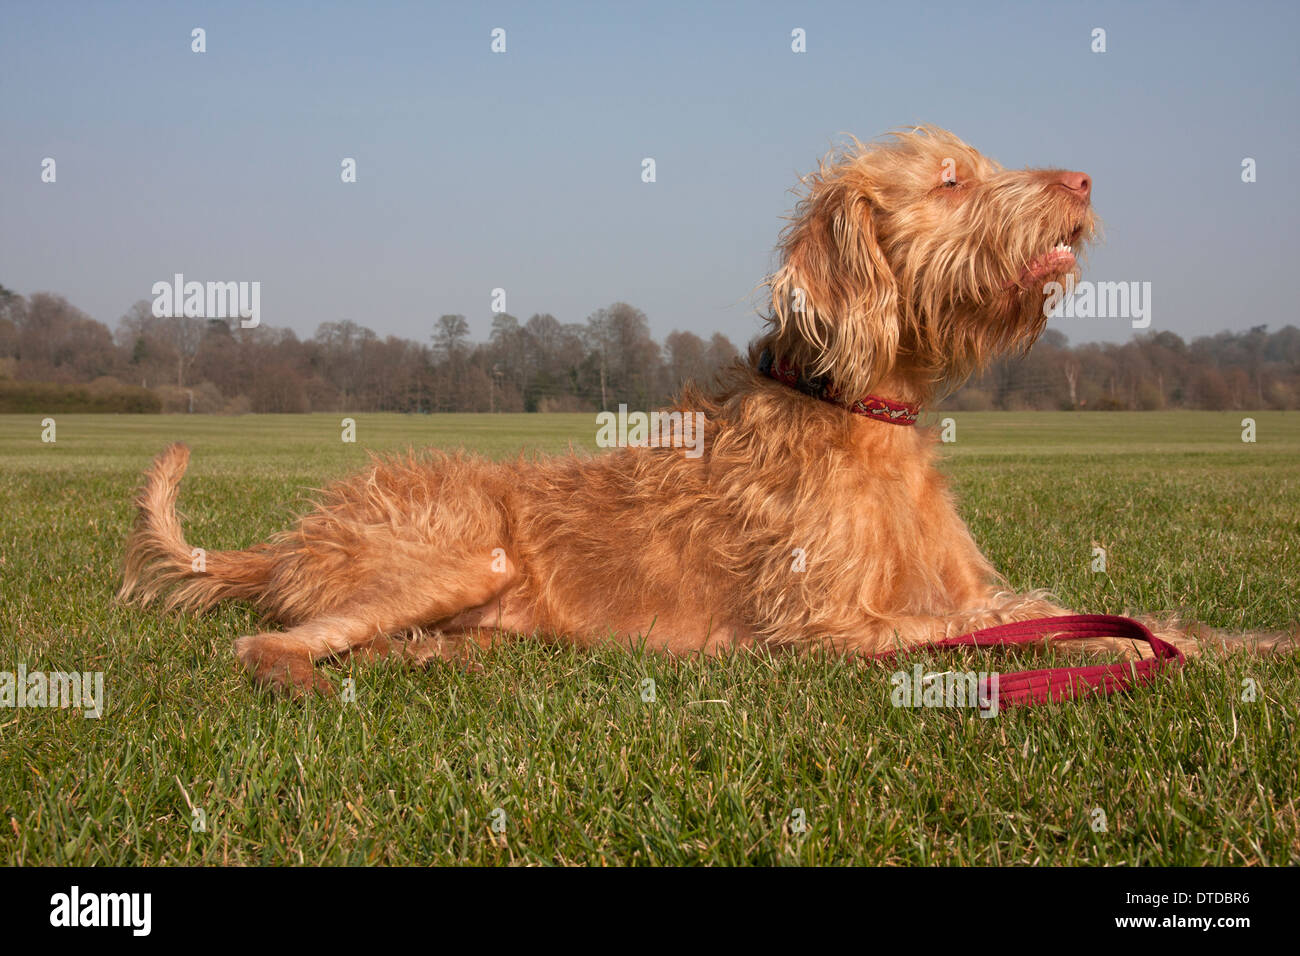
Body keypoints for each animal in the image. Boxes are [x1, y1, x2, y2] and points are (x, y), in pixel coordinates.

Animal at [119, 127, 1289, 697]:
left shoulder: (946, 589)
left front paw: (1241, 638)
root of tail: (284, 542)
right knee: (271, 649)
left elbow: (1104, 615)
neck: (862, 411)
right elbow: (993, 633)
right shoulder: (829, 626)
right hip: (461, 553)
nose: (1083, 181)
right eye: (953, 180)